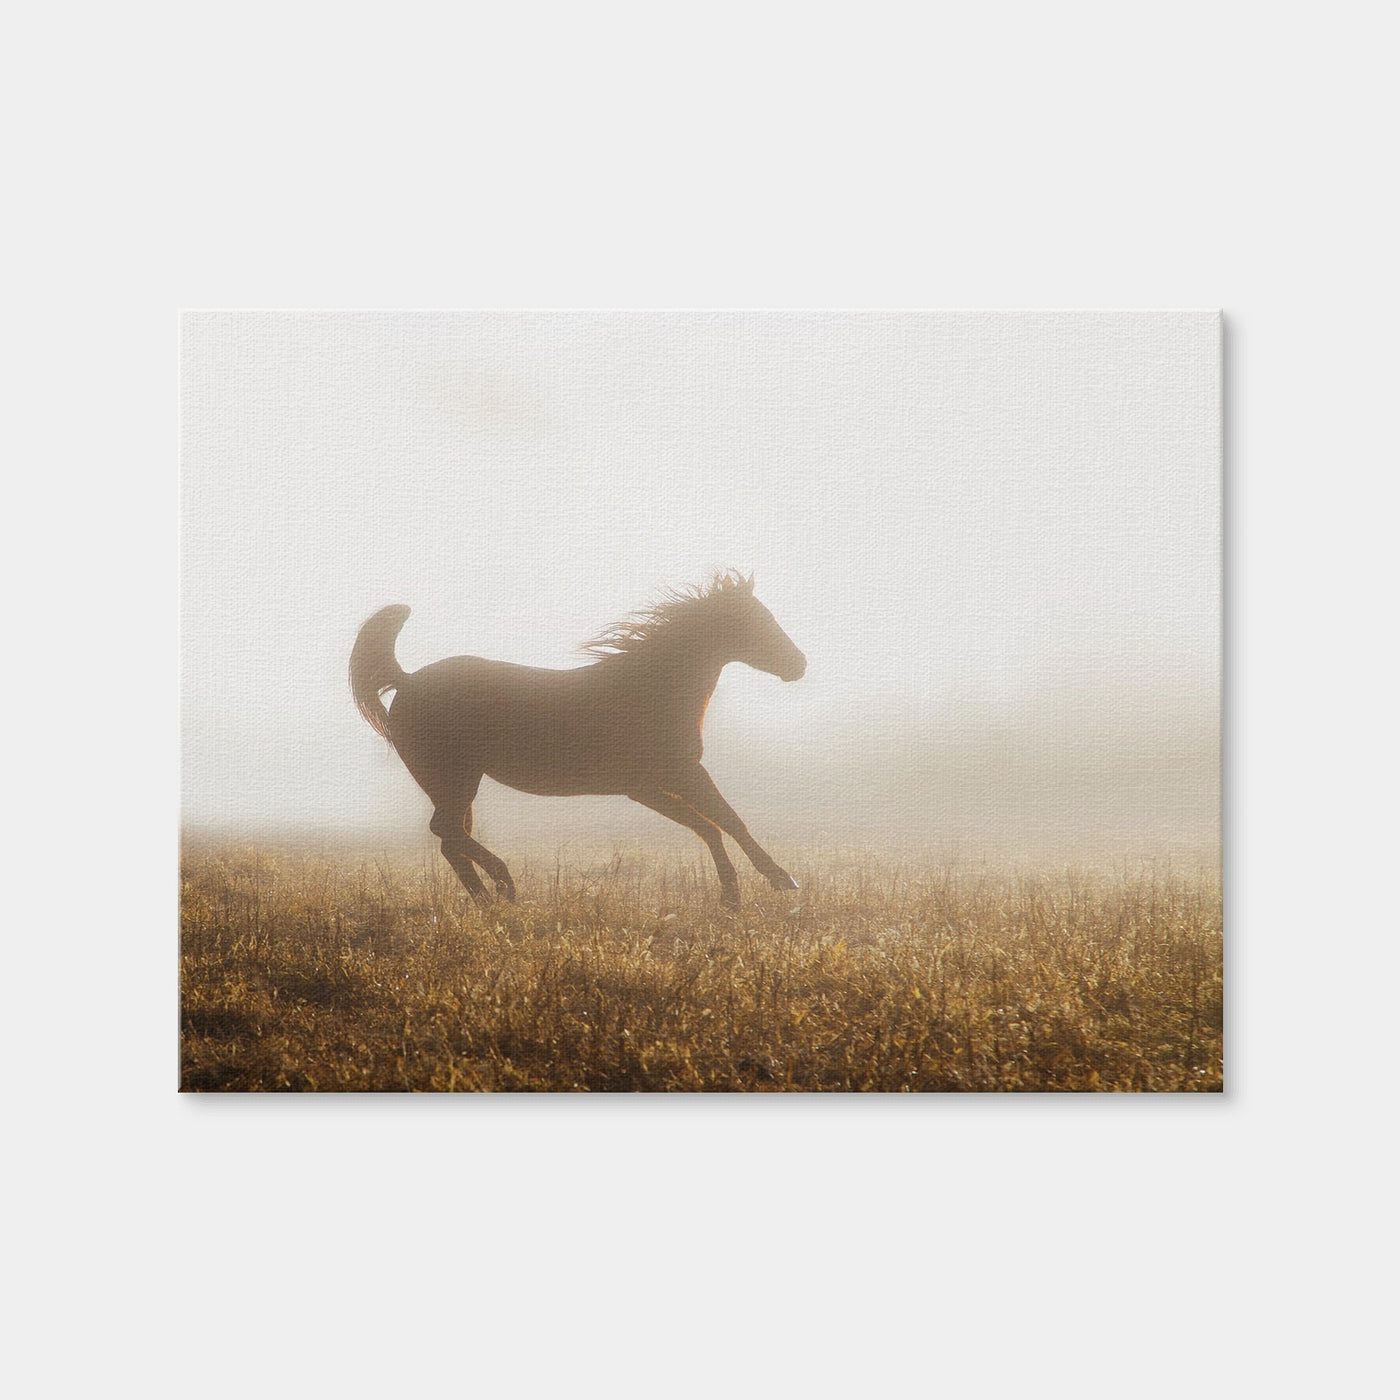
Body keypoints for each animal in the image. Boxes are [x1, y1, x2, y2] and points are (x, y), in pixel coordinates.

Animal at [349, 571, 807, 909]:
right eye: (754, 621)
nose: (798, 665)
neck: (650, 691)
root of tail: (406, 681)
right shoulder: (651, 784)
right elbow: (713, 824)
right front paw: (745, 891)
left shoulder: (676, 776)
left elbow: (724, 821)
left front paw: (768, 884)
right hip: (456, 780)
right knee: (446, 832)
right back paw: (505, 886)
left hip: (454, 785)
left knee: (450, 840)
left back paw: (489, 901)